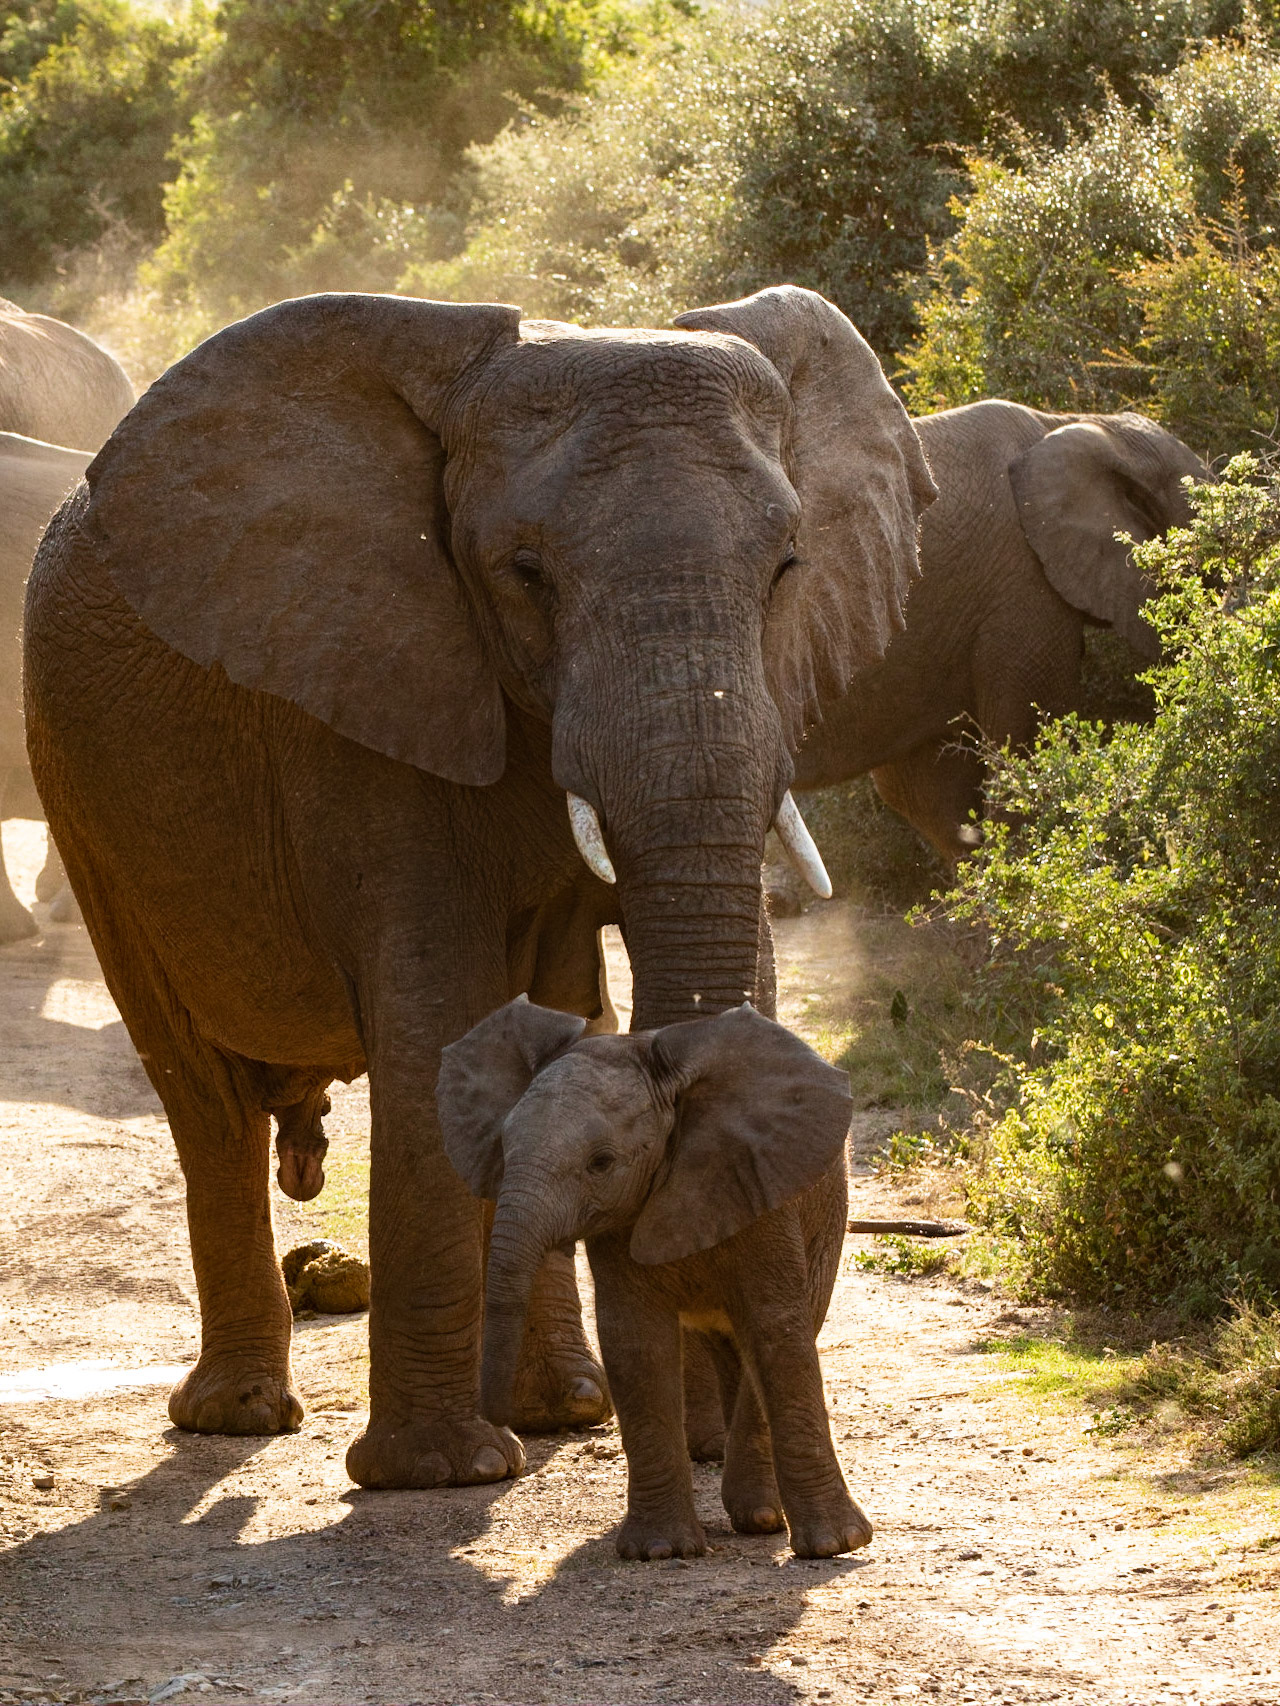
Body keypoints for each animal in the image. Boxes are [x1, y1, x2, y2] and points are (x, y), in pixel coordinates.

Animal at [24, 286, 935, 1489]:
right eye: (523, 571)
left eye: (787, 565)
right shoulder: (362, 690)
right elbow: (431, 1018)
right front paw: (438, 1472)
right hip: (82, 798)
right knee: (201, 1095)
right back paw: (241, 1416)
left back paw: (564, 1407)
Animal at [438, 997, 869, 1561]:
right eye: (503, 1149)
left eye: (601, 1163)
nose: (508, 1426)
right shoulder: (620, 1221)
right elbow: (635, 1342)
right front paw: (660, 1552)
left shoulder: (761, 1195)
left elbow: (778, 1332)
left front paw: (837, 1547)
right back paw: (758, 1516)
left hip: (826, 1209)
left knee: (778, 1333)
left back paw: (762, 1517)